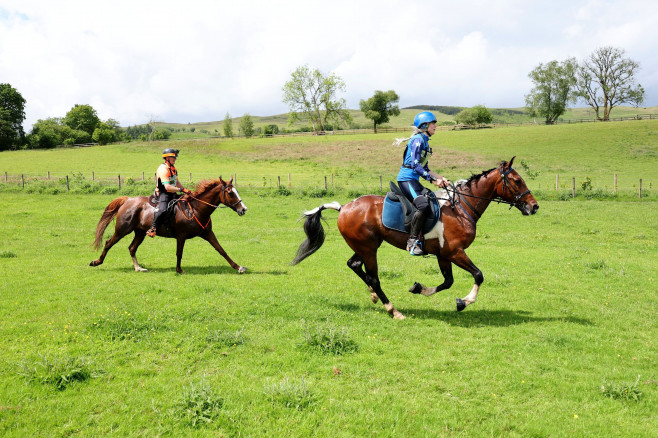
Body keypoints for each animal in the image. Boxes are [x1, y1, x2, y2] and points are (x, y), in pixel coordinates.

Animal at [88, 178, 247, 274]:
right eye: (230, 193)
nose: (243, 209)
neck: (195, 209)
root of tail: (128, 200)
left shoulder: (207, 234)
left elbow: (221, 250)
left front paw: (238, 267)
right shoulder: (181, 236)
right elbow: (179, 253)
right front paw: (179, 270)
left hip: (140, 232)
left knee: (132, 248)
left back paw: (138, 268)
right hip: (122, 230)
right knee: (108, 243)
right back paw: (96, 262)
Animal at [292, 157, 540, 318]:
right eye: (517, 181)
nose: (534, 206)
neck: (461, 207)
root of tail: (343, 207)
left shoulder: (443, 255)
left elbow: (447, 282)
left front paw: (420, 289)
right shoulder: (455, 252)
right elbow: (478, 275)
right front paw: (465, 301)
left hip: (366, 246)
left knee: (353, 264)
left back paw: (373, 296)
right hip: (369, 249)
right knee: (373, 277)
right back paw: (393, 310)